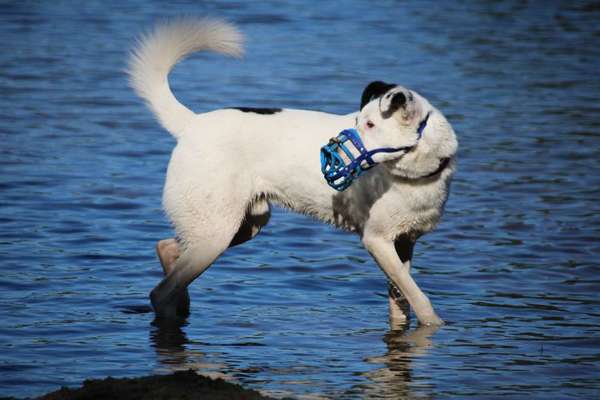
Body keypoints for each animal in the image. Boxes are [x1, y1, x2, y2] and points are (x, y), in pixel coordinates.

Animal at [126, 17, 454, 326]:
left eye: (371, 125)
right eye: (358, 120)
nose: (327, 152)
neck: (415, 175)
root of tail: (192, 124)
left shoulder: (405, 241)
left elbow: (400, 299)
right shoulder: (377, 241)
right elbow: (417, 297)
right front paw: (436, 325)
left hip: (243, 225)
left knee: (167, 249)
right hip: (216, 232)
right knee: (161, 291)